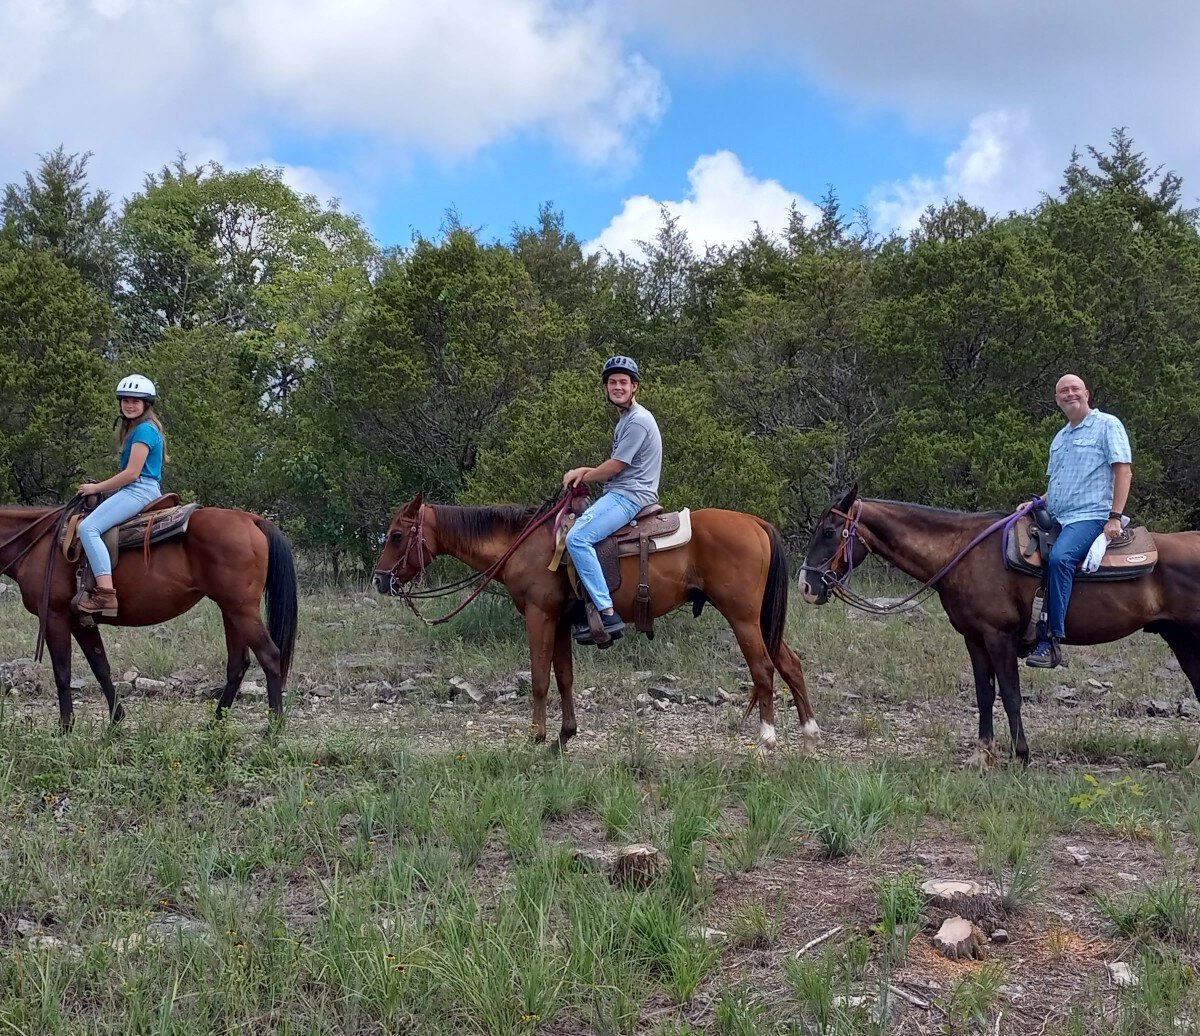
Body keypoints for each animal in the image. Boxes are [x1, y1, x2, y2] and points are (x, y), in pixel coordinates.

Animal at [0, 501, 297, 729]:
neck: (35, 544)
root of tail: (251, 519)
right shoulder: (81, 621)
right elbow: (101, 667)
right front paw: (116, 721)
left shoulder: (54, 616)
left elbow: (63, 674)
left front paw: (65, 729)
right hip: (231, 611)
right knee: (238, 664)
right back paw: (215, 724)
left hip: (242, 610)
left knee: (270, 656)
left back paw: (274, 728)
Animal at [372, 494, 816, 753]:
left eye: (396, 535)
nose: (379, 580)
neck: (525, 545)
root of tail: (755, 523)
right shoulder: (562, 622)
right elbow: (565, 677)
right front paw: (563, 737)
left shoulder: (540, 616)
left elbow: (539, 678)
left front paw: (535, 736)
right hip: (760, 619)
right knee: (790, 664)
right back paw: (809, 733)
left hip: (742, 617)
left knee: (762, 668)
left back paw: (767, 738)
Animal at [801, 484, 1200, 763]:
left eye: (830, 531)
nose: (806, 586)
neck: (962, 552)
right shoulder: (975, 638)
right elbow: (984, 693)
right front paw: (983, 753)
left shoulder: (998, 637)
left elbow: (1010, 694)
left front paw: (1021, 754)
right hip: (1182, 640)